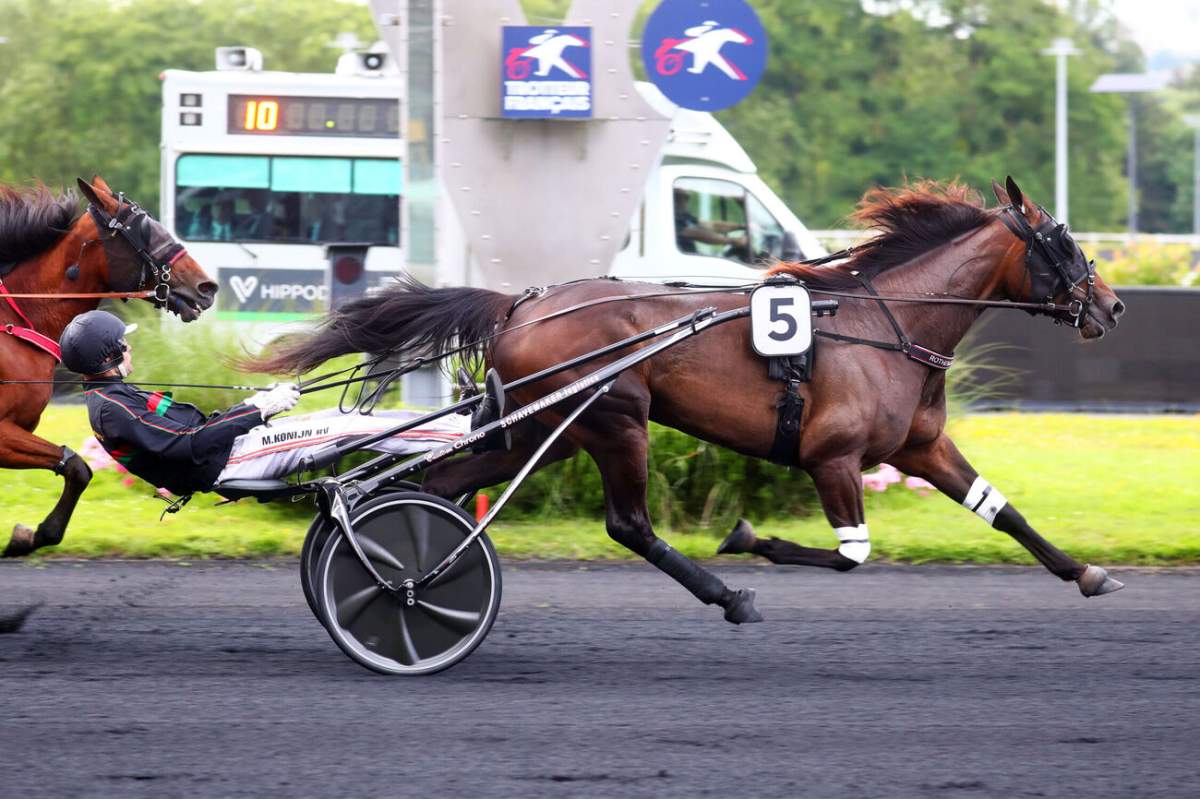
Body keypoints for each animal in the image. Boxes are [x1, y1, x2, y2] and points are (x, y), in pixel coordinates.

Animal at [0, 176, 217, 558]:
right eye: (148, 231)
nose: (206, 287)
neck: (15, 321)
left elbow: (76, 469)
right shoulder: (1, 433)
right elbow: (77, 467)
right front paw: (33, 535)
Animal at [244, 177, 1127, 622]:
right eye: (1063, 243)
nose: (1113, 307)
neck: (887, 321)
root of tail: (521, 303)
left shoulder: (919, 447)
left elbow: (1002, 510)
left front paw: (1086, 572)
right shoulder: (833, 457)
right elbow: (849, 553)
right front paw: (749, 539)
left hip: (544, 430)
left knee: (441, 485)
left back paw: (409, 570)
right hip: (614, 419)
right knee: (628, 523)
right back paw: (728, 594)